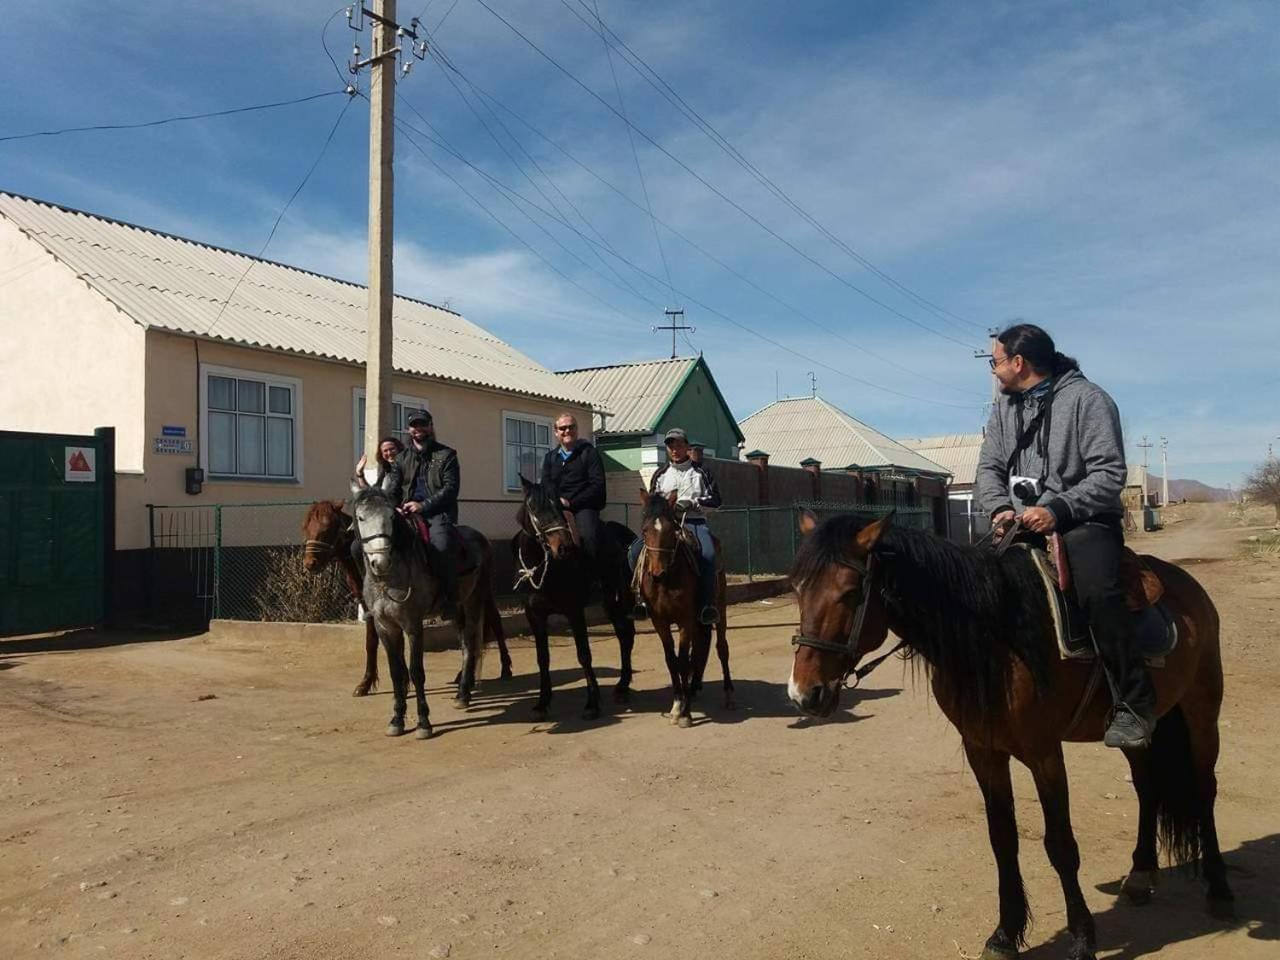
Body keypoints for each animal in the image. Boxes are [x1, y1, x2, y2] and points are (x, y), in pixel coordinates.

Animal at [302, 499, 512, 696]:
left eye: (327, 527)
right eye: (305, 528)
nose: (309, 563)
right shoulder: (374, 611)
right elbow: (371, 642)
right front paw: (366, 683)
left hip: (483, 592)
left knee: (495, 621)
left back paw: (505, 668)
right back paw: (464, 675)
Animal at [350, 483, 494, 742]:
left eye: (391, 516)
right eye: (361, 517)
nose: (380, 562)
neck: (389, 579)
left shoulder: (413, 626)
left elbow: (416, 672)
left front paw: (424, 722)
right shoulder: (386, 627)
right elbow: (397, 673)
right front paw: (397, 719)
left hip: (473, 603)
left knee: (470, 645)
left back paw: (463, 695)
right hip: (457, 610)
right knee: (465, 644)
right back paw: (462, 693)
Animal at [514, 478, 640, 727]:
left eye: (558, 505)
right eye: (533, 508)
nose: (563, 547)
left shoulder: (574, 611)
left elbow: (584, 655)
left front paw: (592, 704)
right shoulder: (534, 615)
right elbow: (542, 658)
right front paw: (541, 704)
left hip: (618, 600)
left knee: (625, 636)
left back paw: (622, 687)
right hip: (610, 604)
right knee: (625, 635)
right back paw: (622, 686)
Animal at [637, 491, 737, 727]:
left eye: (671, 530)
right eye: (645, 530)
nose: (657, 573)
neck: (667, 580)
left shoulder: (685, 620)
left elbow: (683, 661)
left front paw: (685, 713)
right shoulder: (660, 622)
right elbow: (672, 660)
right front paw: (677, 704)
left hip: (719, 607)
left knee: (721, 648)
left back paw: (728, 694)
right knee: (699, 650)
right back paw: (692, 689)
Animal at [783, 514, 1233, 957]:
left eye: (850, 593)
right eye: (798, 589)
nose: (805, 694)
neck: (998, 637)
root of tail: (1186, 586)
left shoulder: (1044, 753)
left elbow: (1061, 846)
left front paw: (1082, 938)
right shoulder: (984, 751)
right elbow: (1002, 839)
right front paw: (1004, 935)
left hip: (1201, 710)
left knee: (1204, 788)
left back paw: (1220, 890)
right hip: (1139, 732)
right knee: (1147, 785)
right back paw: (1141, 875)